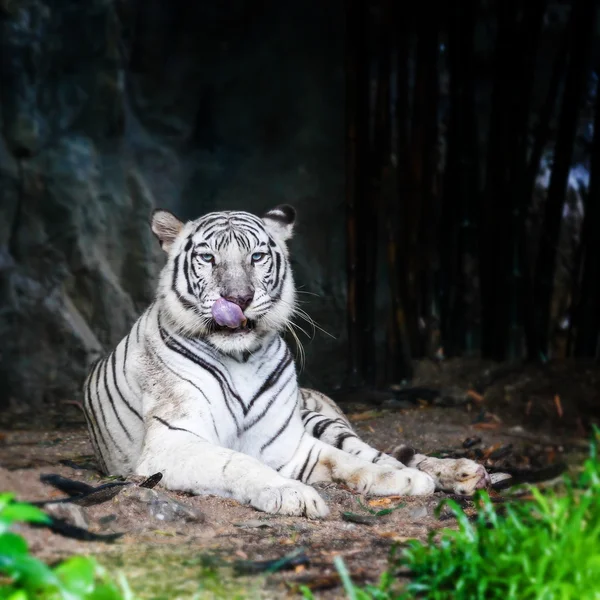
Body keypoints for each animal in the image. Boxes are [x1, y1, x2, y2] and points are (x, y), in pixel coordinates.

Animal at [82, 206, 490, 516]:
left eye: (257, 257)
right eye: (208, 258)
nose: (238, 298)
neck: (241, 358)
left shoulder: (288, 446)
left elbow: (348, 462)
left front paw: (405, 480)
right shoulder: (173, 441)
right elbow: (238, 462)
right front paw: (294, 494)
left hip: (321, 419)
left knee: (379, 451)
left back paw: (459, 471)